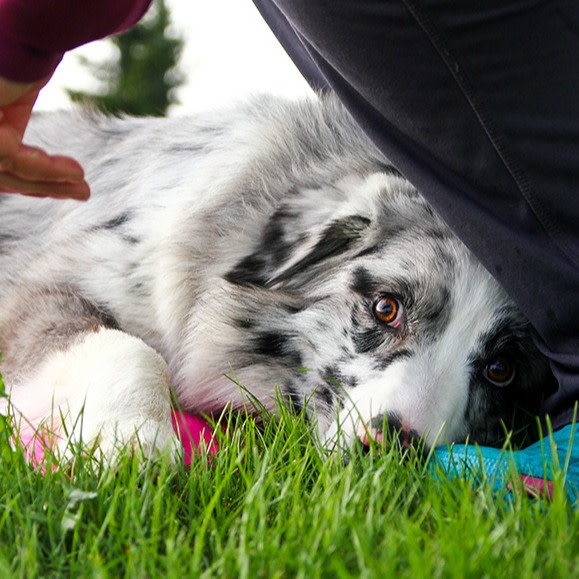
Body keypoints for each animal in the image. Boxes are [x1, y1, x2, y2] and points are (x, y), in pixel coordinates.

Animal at [0, 94, 556, 458]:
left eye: (500, 369)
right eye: (386, 307)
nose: (390, 446)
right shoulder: (48, 280)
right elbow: (127, 347)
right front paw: (127, 442)